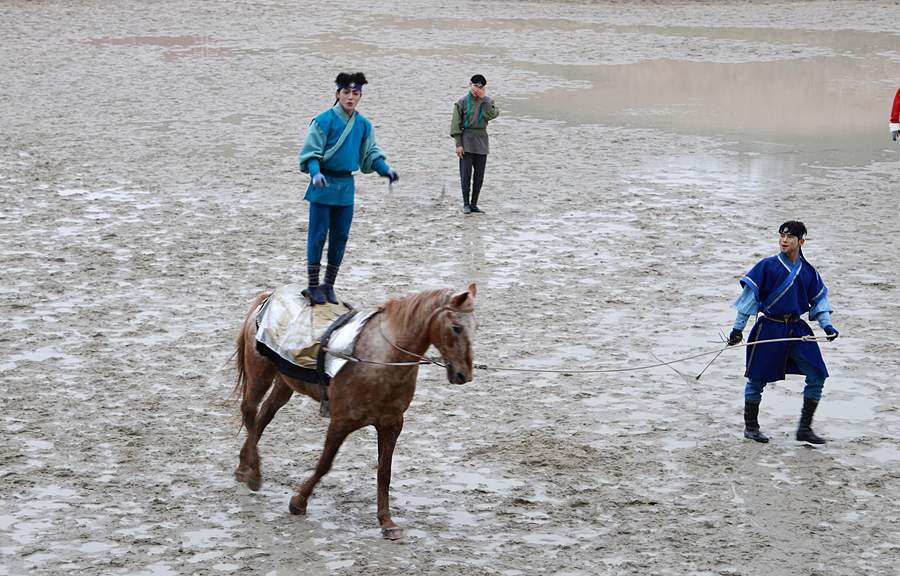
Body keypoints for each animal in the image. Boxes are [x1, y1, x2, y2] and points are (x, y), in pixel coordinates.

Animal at [232, 284, 478, 540]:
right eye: (456, 327)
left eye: (476, 326)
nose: (464, 374)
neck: (380, 358)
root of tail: (268, 296)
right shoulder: (341, 421)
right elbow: (324, 464)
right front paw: (299, 501)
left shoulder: (391, 424)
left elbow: (384, 472)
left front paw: (387, 521)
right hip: (261, 373)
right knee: (249, 411)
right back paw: (254, 473)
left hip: (284, 383)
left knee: (263, 417)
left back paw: (244, 466)